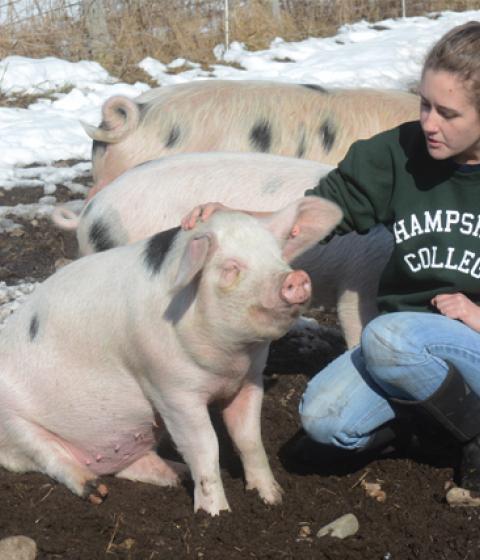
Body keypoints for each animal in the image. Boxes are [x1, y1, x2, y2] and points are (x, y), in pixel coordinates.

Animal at [0, 197, 342, 516]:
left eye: (279, 256)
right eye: (230, 268)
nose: (294, 278)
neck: (230, 363)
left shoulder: (249, 381)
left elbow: (249, 439)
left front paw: (272, 497)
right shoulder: (171, 390)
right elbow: (206, 446)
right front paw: (216, 514)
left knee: (125, 464)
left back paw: (175, 473)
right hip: (14, 422)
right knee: (51, 457)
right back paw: (96, 490)